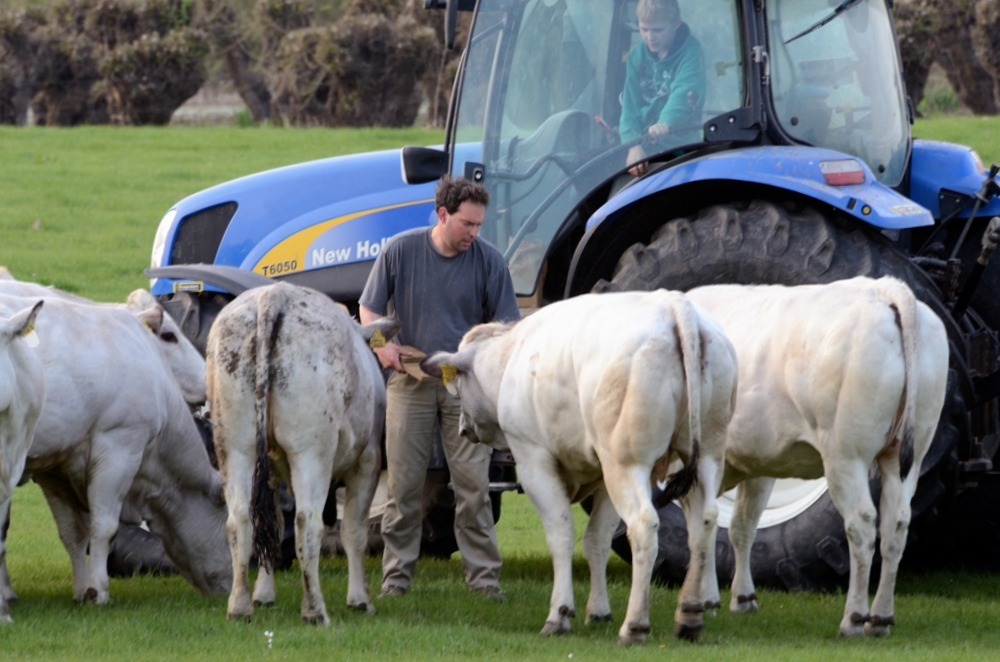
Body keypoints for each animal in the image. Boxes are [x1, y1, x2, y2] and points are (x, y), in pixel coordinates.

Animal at [0, 296, 232, 608]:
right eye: (231, 534)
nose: (230, 586)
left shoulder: (56, 468)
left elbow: (73, 534)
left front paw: (79, 589)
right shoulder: (120, 446)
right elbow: (104, 527)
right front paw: (97, 591)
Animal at [207, 282, 398, 624]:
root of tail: (274, 294)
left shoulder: (269, 473)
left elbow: (270, 526)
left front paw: (263, 593)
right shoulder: (368, 462)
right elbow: (354, 531)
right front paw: (360, 599)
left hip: (234, 447)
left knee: (240, 520)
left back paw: (240, 605)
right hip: (311, 452)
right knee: (307, 523)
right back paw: (314, 610)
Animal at [418, 290, 740, 644]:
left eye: (458, 387)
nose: (463, 428)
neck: (510, 359)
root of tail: (673, 305)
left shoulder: (535, 462)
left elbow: (560, 535)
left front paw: (559, 614)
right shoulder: (602, 478)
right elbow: (596, 539)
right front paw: (598, 611)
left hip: (627, 464)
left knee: (643, 526)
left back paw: (635, 625)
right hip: (704, 457)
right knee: (703, 523)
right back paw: (689, 616)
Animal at [688, 278, 944, 640]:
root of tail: (884, 288)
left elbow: (701, 527)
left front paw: (703, 599)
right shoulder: (759, 464)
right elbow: (740, 526)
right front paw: (741, 598)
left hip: (845, 454)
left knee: (861, 524)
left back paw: (853, 619)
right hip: (909, 454)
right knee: (896, 524)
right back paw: (880, 618)